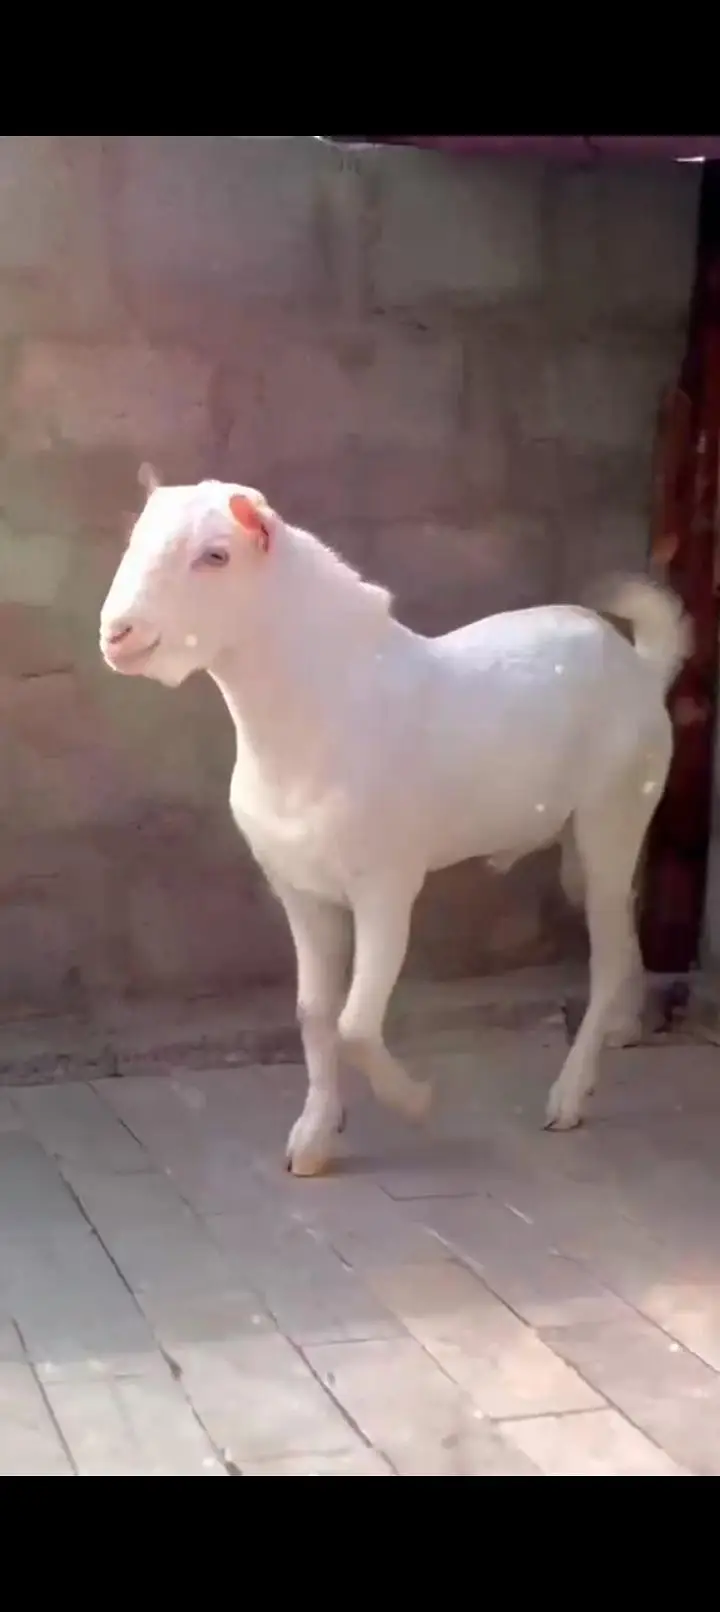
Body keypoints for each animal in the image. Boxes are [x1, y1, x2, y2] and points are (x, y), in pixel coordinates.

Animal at [99, 476, 688, 1176]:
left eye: (215, 555)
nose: (118, 633)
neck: (326, 712)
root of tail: (641, 669)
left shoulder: (385, 887)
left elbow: (354, 1024)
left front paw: (416, 1102)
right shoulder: (299, 890)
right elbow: (314, 1013)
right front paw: (315, 1137)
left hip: (613, 809)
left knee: (608, 948)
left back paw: (569, 1096)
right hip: (581, 835)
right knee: (620, 920)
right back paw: (624, 1029)